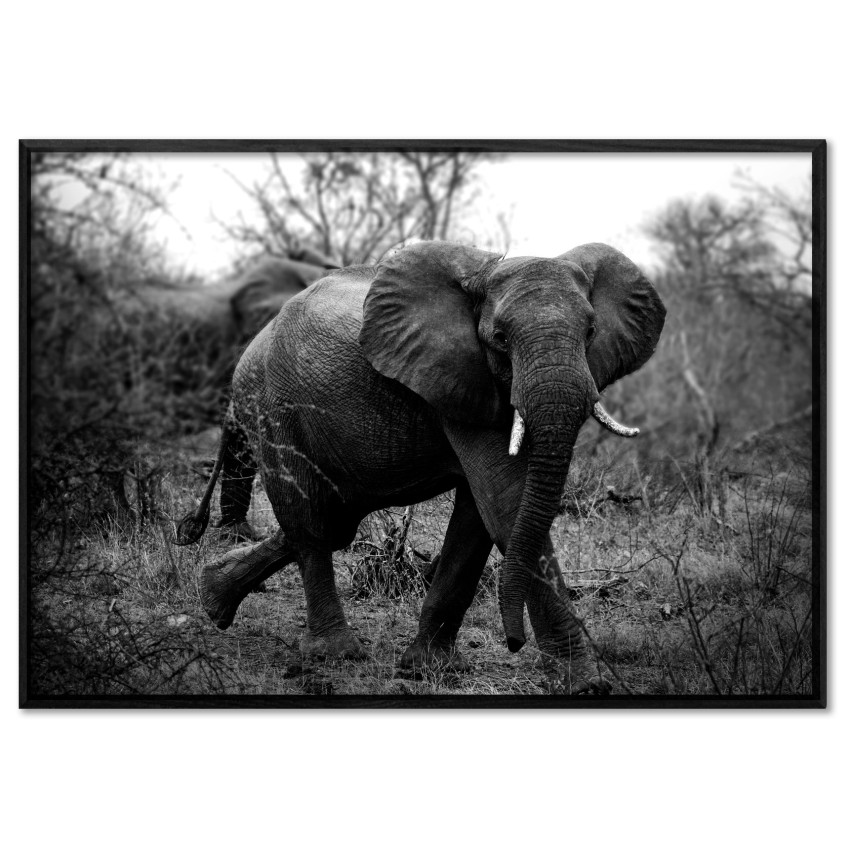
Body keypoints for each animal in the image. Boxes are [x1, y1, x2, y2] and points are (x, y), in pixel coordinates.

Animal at [176, 240, 666, 693]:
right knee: (312, 525)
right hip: (272, 411)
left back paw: (213, 596)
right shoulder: (461, 375)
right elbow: (506, 509)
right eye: (500, 337)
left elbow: (479, 518)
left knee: (333, 522)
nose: (513, 642)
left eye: (591, 330)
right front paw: (587, 684)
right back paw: (334, 654)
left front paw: (428, 668)